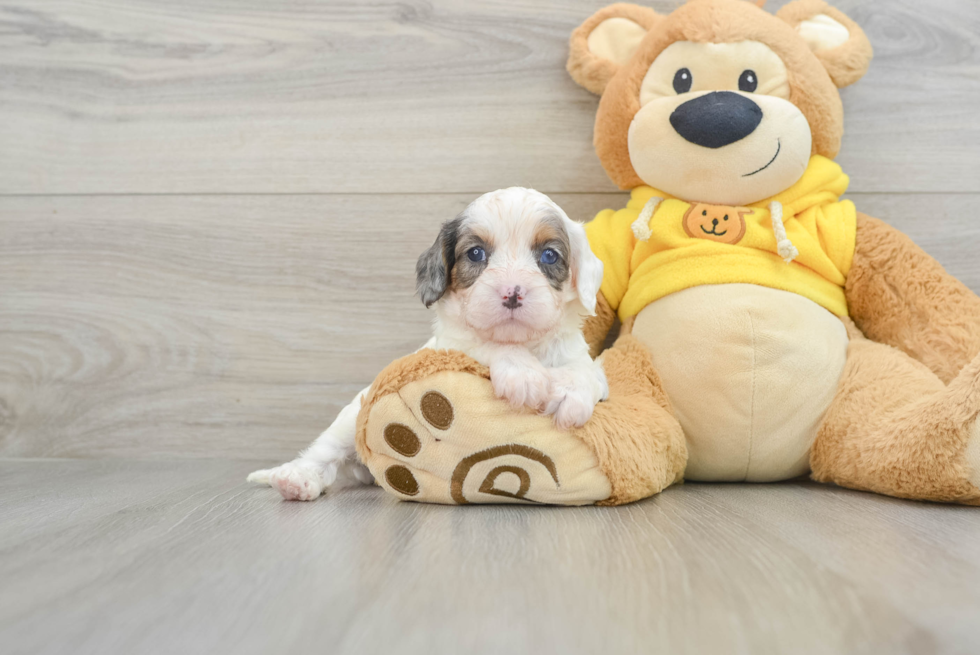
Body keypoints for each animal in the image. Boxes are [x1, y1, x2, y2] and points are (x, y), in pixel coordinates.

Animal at [247, 188, 604, 502]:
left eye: (549, 255)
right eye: (476, 253)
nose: (512, 292)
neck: (527, 344)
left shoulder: (574, 353)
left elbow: (583, 369)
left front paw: (570, 392)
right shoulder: (453, 344)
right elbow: (485, 344)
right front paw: (523, 374)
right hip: (351, 418)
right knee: (324, 452)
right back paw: (297, 478)